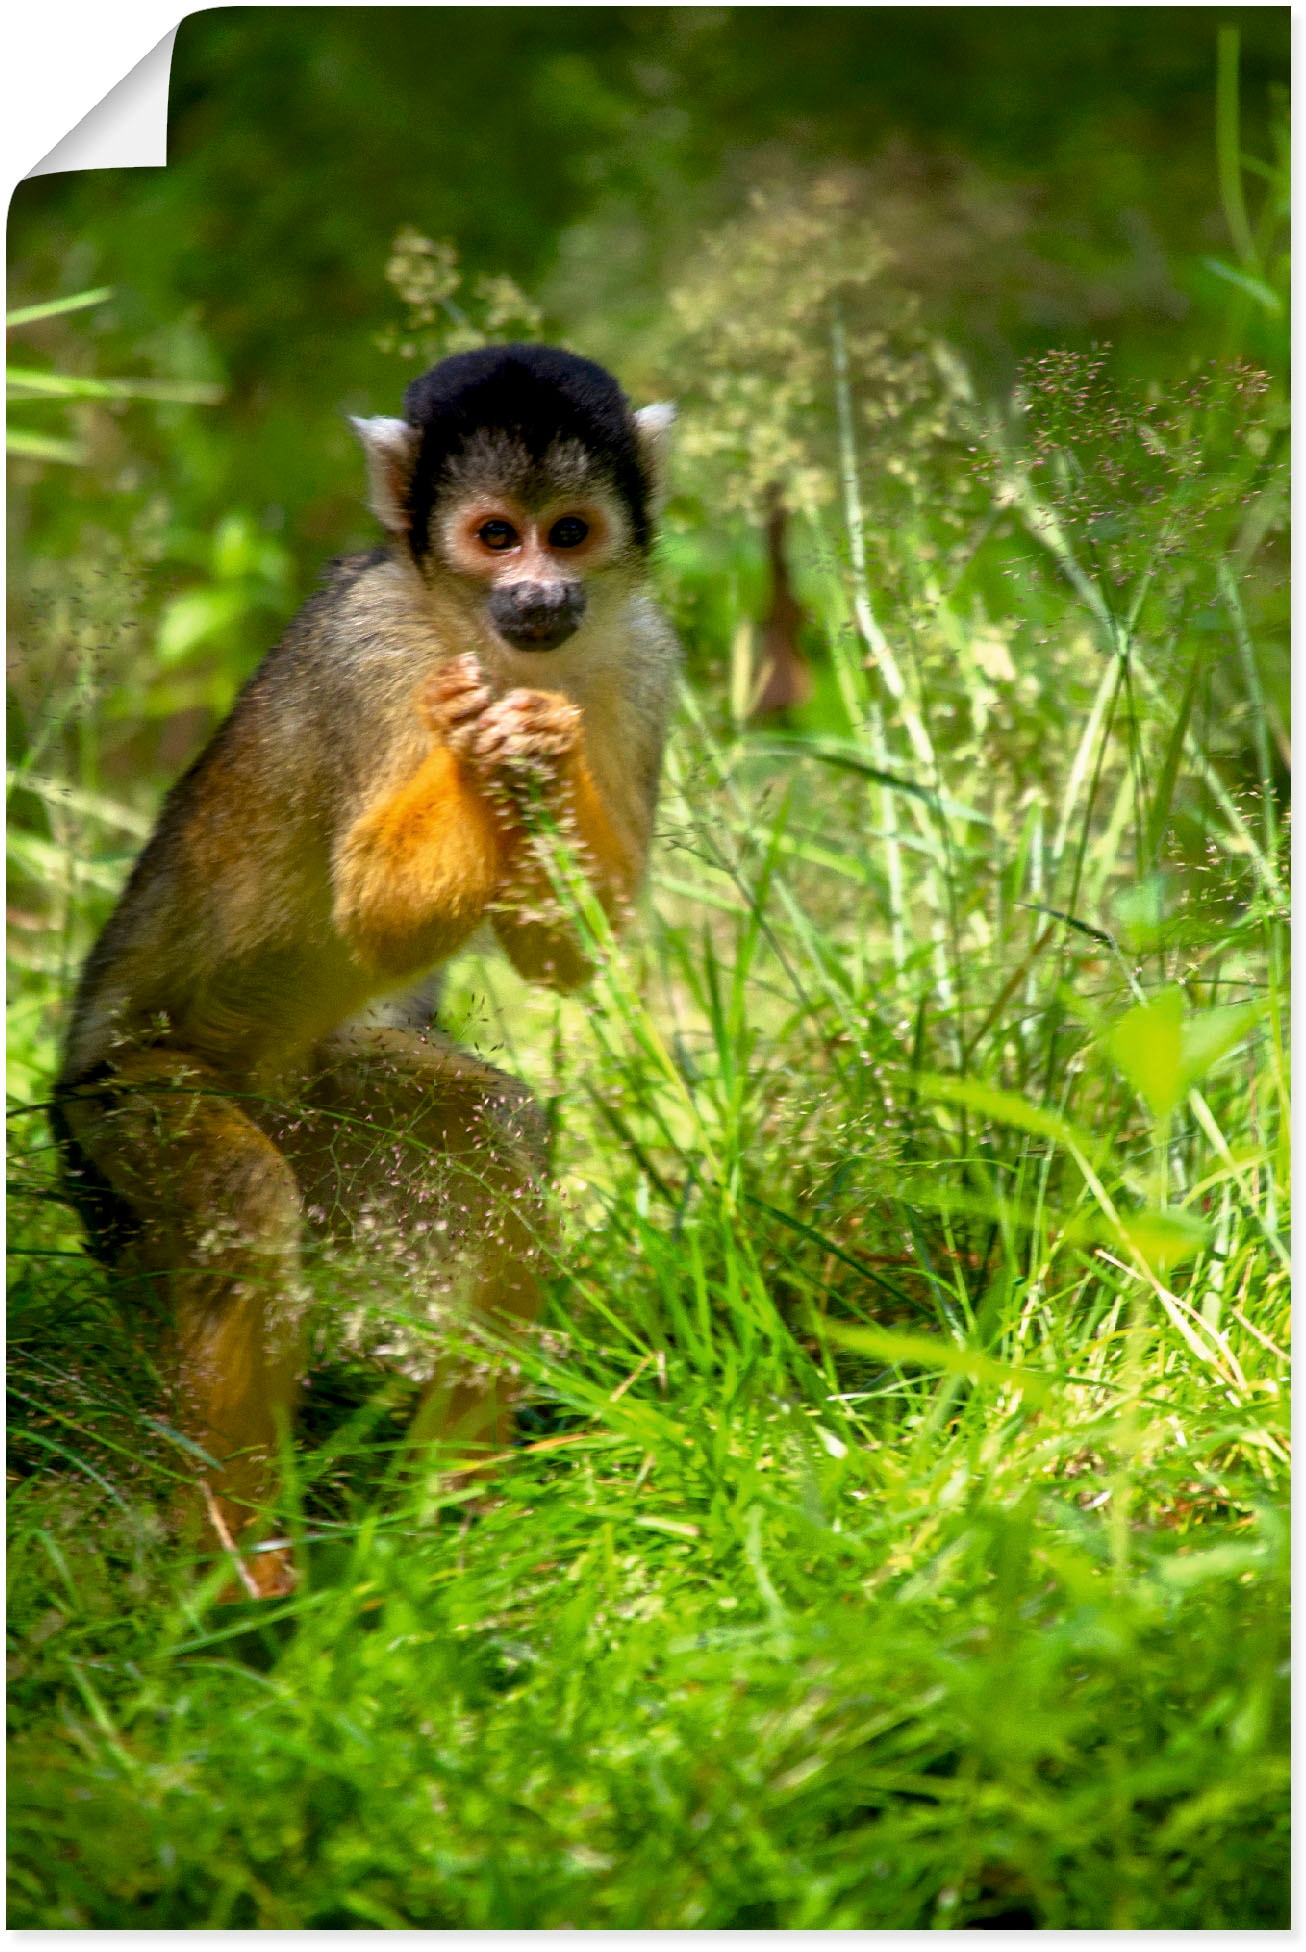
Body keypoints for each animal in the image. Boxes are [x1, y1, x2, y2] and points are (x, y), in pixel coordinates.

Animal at [51, 343, 683, 1592]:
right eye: (495, 536)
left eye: (569, 531)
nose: (539, 593)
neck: (481, 636)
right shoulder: (370, 646)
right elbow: (372, 909)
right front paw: (479, 741)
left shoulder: (643, 653)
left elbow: (570, 950)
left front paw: (538, 743)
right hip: (121, 1116)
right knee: (241, 1199)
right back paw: (240, 1554)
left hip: (325, 1121)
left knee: (491, 1132)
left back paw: (461, 1505)